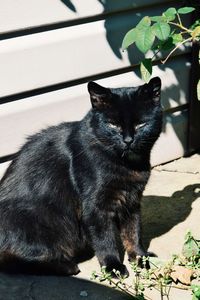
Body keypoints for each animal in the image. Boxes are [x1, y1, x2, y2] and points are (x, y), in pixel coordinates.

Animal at [0, 77, 162, 276]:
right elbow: (105, 239)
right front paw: (113, 267)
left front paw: (140, 258)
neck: (127, 164)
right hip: (39, 220)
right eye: (113, 124)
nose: (128, 140)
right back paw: (66, 266)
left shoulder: (132, 201)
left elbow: (133, 233)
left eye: (141, 124)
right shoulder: (95, 207)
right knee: (13, 260)